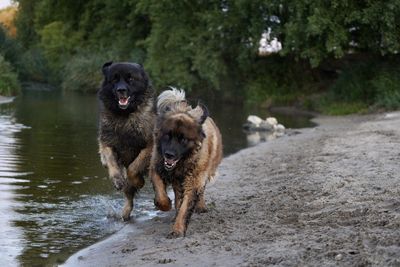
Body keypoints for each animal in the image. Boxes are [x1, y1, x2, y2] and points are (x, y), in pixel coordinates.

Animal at [98, 62, 156, 222]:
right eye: (114, 79)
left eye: (130, 79)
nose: (121, 90)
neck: (124, 116)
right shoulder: (106, 143)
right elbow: (111, 161)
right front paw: (117, 179)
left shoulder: (149, 146)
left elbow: (133, 167)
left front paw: (139, 181)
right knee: (129, 198)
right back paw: (125, 213)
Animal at [149, 89, 222, 239]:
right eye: (167, 135)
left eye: (183, 139)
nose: (169, 155)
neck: (182, 162)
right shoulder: (157, 167)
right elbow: (161, 193)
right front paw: (165, 205)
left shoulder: (193, 180)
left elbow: (185, 207)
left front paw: (177, 229)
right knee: (178, 194)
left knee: (200, 190)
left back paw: (200, 206)